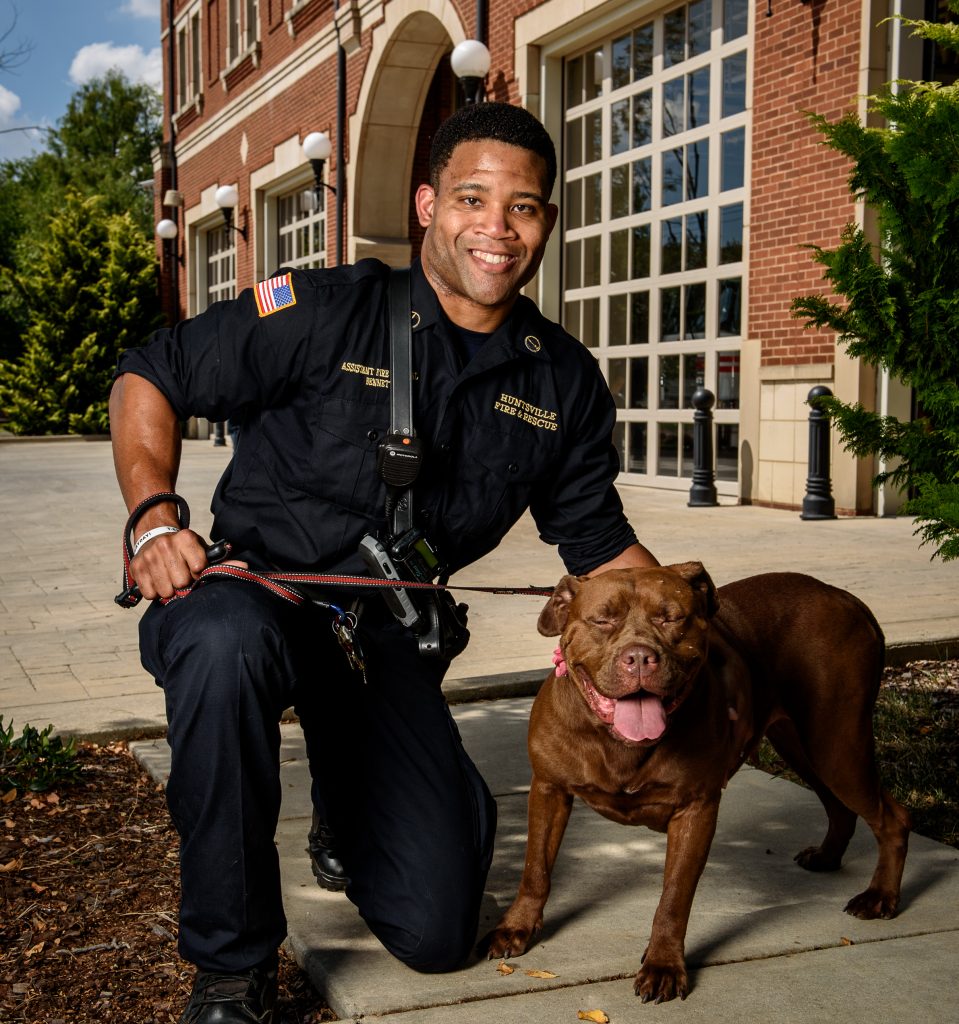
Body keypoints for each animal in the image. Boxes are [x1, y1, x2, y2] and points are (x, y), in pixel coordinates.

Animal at [489, 561, 908, 999]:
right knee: (839, 806)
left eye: (671, 618)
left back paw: (880, 896)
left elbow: (674, 897)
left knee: (891, 817)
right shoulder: (548, 789)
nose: (640, 657)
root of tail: (844, 597)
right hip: (803, 748)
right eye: (602, 620)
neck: (618, 741)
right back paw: (828, 857)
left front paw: (663, 964)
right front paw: (517, 926)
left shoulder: (695, 809)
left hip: (836, 745)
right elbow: (535, 868)